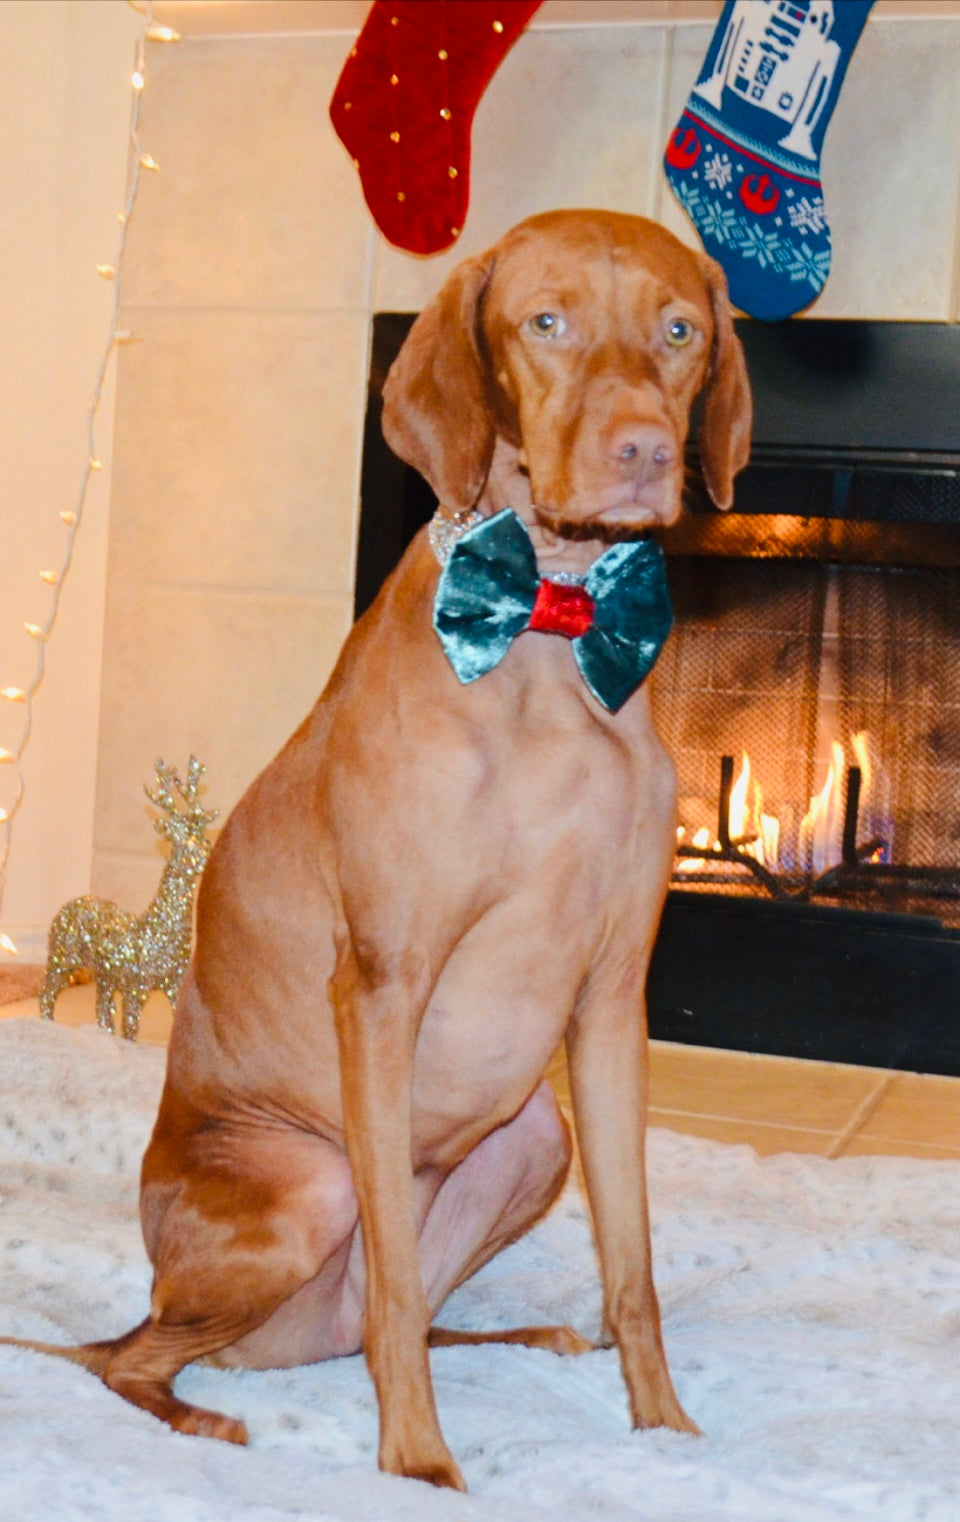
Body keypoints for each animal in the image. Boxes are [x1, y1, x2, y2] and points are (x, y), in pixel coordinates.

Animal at [3, 208, 751, 1491]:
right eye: (545, 322)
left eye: (679, 330)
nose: (646, 454)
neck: (546, 634)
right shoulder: (385, 988)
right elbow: (398, 1287)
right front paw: (420, 1465)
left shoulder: (612, 1000)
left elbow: (635, 1268)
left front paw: (666, 1435)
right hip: (308, 1188)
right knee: (143, 1355)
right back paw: (203, 1418)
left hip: (533, 1137)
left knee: (363, 1318)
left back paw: (525, 1335)